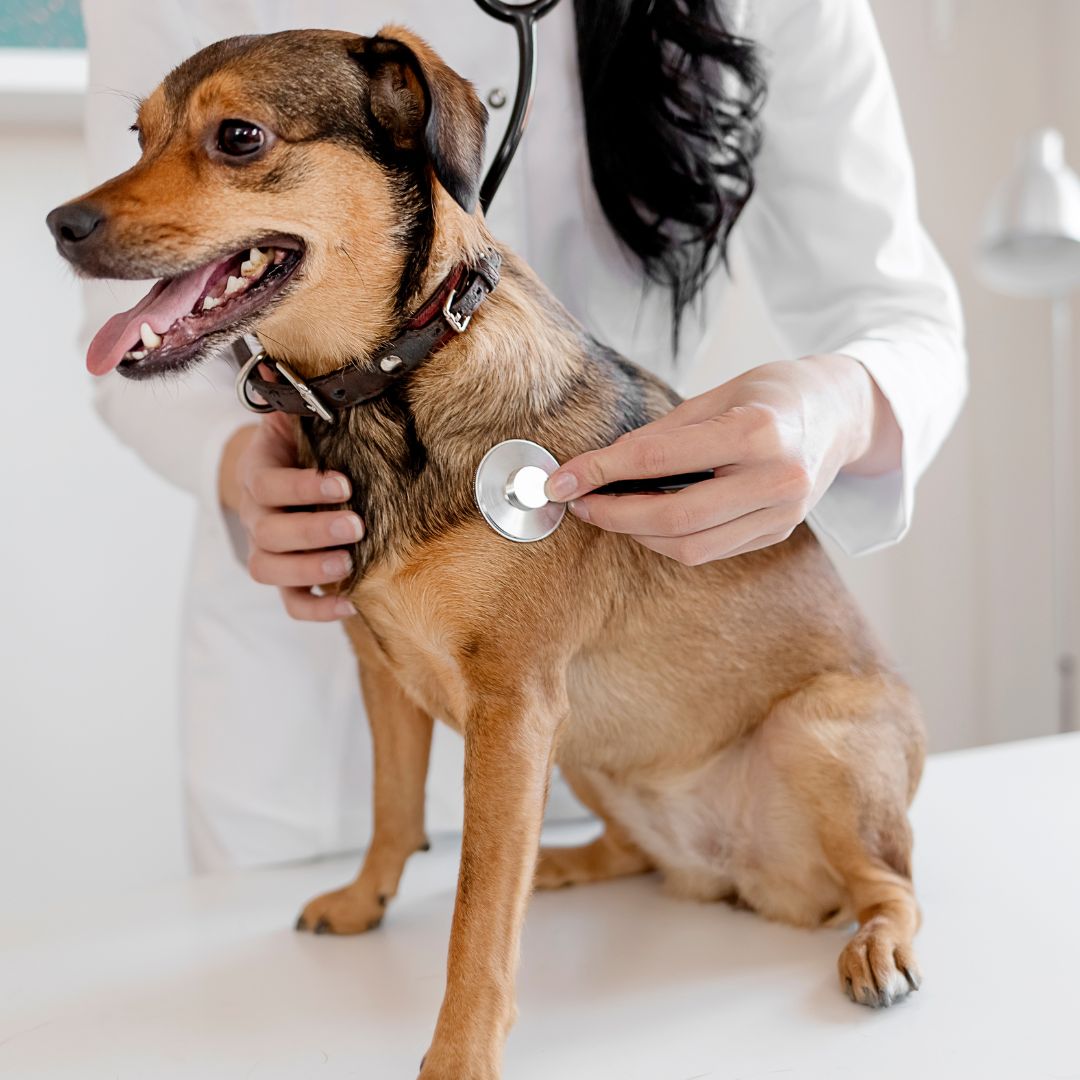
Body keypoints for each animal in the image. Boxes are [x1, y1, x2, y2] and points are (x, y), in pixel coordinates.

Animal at [50, 27, 924, 1080]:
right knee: (634, 855)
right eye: (137, 136)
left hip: (812, 733)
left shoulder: (513, 705)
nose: (57, 223)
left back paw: (876, 947)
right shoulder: (383, 668)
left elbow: (477, 912)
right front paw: (365, 898)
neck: (390, 387)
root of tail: (743, 879)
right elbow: (393, 810)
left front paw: (460, 1052)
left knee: (894, 884)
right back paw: (562, 863)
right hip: (588, 748)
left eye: (239, 137)